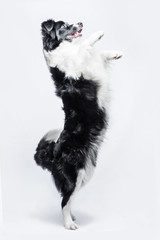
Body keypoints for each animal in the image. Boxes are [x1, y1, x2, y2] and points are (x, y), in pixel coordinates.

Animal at [34, 19, 122, 230]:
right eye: (63, 25)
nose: (80, 22)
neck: (62, 50)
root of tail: (52, 154)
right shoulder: (80, 67)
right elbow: (85, 47)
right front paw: (97, 34)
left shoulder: (92, 65)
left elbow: (97, 53)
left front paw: (114, 53)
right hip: (75, 175)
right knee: (64, 200)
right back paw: (68, 224)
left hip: (84, 175)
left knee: (67, 198)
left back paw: (72, 217)